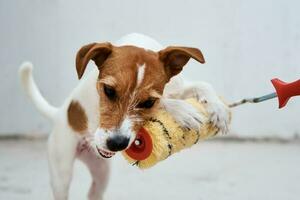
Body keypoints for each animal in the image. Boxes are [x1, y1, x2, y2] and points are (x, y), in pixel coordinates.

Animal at [18, 33, 230, 199]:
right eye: (109, 91)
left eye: (147, 102)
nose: (117, 144)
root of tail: (60, 113)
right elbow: (166, 101)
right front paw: (184, 111)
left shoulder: (178, 87)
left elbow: (202, 85)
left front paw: (218, 109)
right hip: (61, 173)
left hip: (101, 172)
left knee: (94, 193)